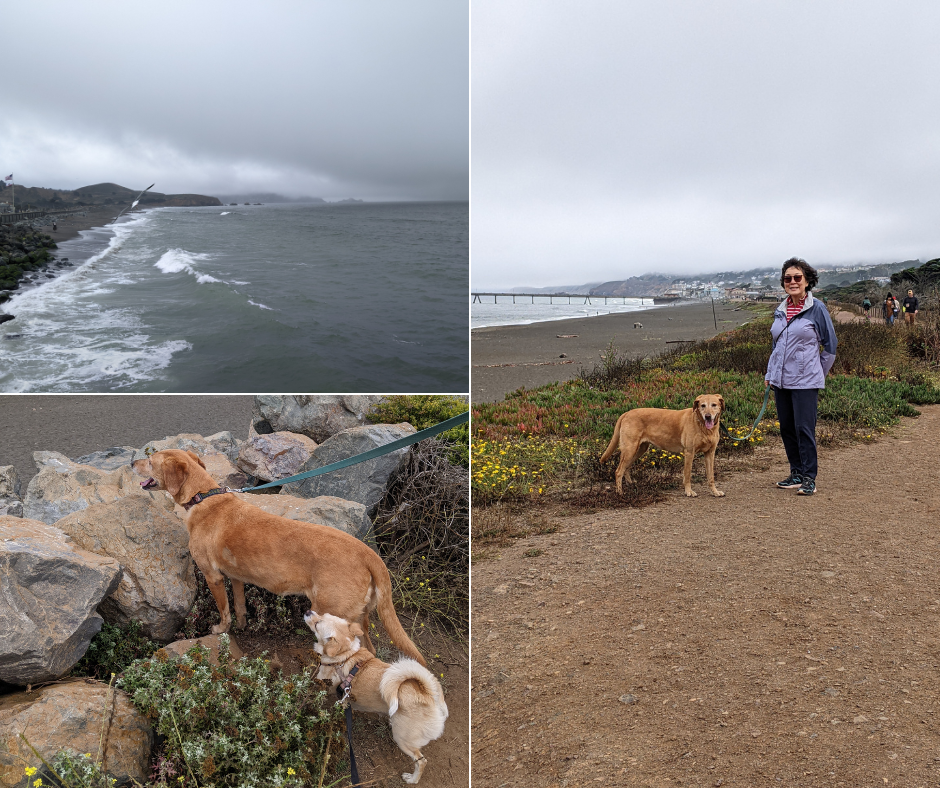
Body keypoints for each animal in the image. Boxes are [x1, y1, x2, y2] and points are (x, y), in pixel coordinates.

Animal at [132, 450, 426, 664]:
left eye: (150, 460)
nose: (132, 461)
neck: (203, 496)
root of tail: (368, 554)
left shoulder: (213, 576)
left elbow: (224, 611)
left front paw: (220, 630)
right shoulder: (236, 577)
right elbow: (239, 606)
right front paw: (242, 625)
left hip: (333, 613)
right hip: (360, 618)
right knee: (369, 652)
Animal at [302, 608, 446, 780]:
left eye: (318, 624)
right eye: (324, 615)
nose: (308, 611)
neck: (345, 656)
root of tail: (427, 693)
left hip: (403, 738)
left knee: (421, 761)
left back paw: (412, 779)